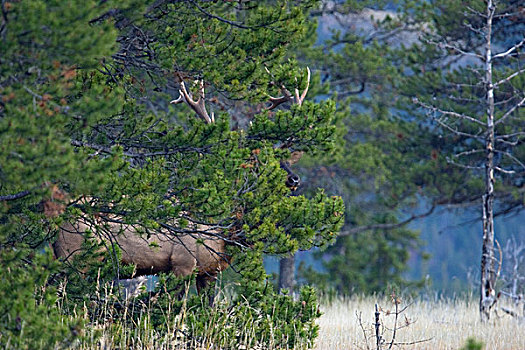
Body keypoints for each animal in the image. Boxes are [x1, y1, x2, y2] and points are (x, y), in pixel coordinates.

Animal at [49, 67, 310, 300]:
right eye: (257, 163)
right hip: (74, 255)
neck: (224, 232)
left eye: (285, 159)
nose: (294, 179)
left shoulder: (210, 272)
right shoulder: (182, 262)